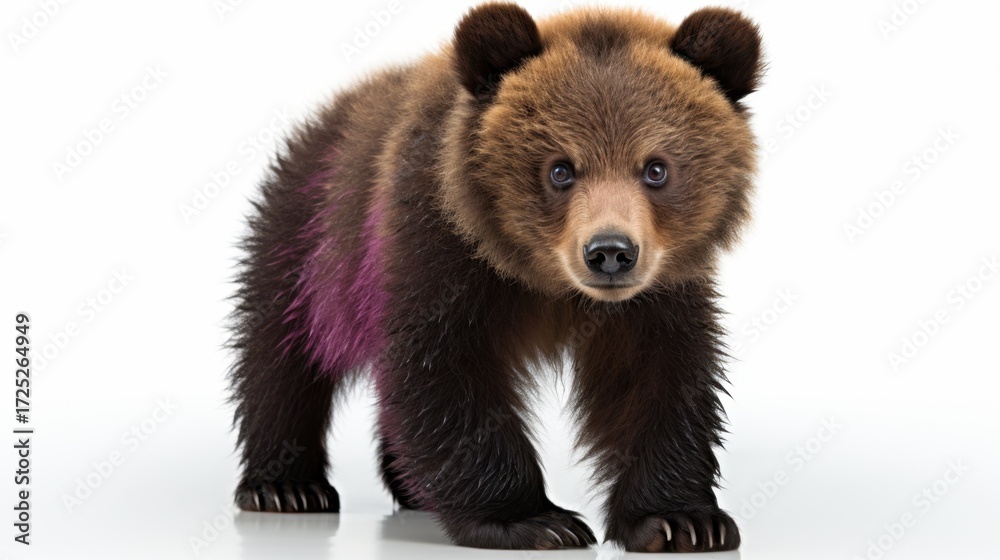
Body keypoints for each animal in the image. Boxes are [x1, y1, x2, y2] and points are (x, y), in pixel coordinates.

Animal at [228, 2, 763, 552]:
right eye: (560, 169)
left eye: (656, 169)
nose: (611, 252)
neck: (540, 277)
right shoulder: (438, 245)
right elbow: (446, 370)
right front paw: (534, 520)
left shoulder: (659, 290)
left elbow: (657, 377)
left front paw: (681, 520)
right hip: (312, 234)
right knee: (281, 353)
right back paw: (287, 486)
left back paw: (407, 486)